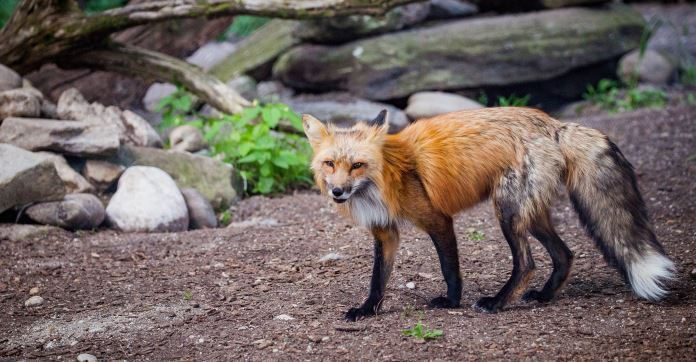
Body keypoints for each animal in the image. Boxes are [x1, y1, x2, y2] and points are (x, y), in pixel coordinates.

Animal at [302, 108, 676, 322]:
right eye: (330, 164)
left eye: (357, 165)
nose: (338, 192)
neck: (388, 175)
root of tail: (555, 123)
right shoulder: (385, 232)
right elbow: (377, 280)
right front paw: (367, 310)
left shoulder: (438, 219)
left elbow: (450, 269)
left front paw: (451, 302)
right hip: (530, 216)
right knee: (565, 255)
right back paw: (544, 296)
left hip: (507, 213)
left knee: (527, 263)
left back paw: (497, 303)